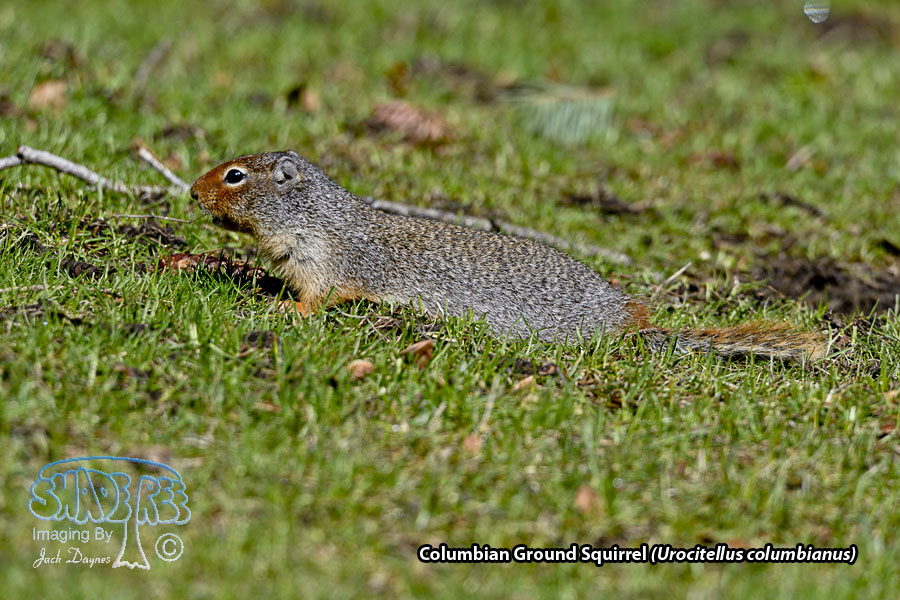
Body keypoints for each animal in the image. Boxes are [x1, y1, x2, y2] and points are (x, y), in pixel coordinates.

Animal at [190, 151, 826, 362]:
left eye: (235, 175)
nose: (192, 193)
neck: (313, 215)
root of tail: (625, 323)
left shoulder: (325, 260)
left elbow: (317, 298)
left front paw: (282, 311)